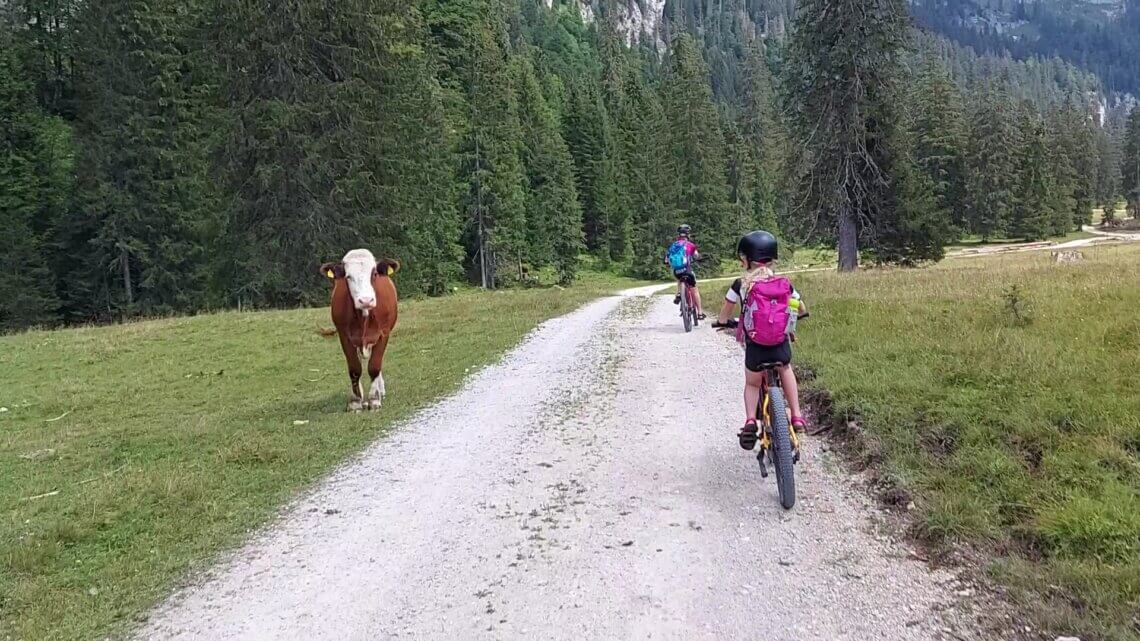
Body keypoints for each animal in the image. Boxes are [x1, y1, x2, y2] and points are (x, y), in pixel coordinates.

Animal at [319, 249, 399, 408]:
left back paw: (380, 390)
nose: (366, 300)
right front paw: (356, 401)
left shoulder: (383, 334)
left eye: (374, 274)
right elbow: (355, 369)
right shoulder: (344, 336)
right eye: (348, 276)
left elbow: (374, 366)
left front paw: (374, 399)